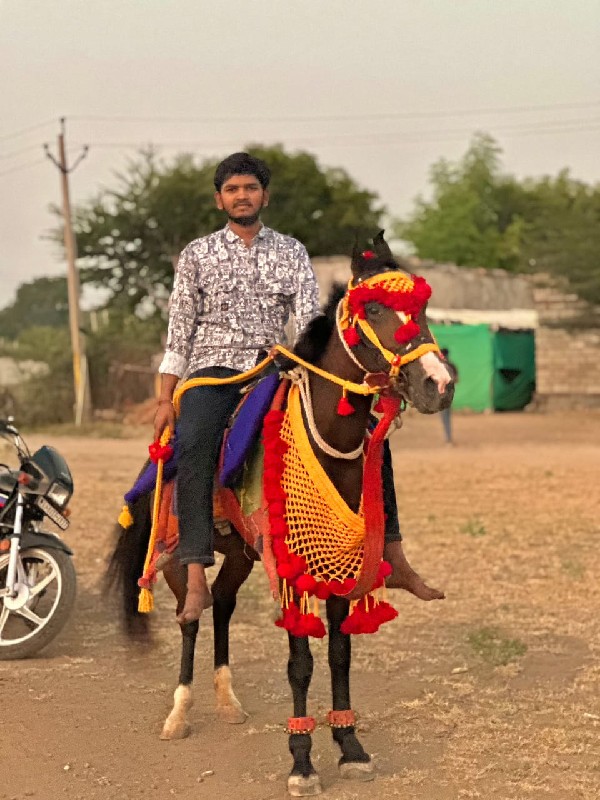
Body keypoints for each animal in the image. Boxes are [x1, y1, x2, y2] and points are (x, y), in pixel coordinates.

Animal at [108, 231, 454, 792]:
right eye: (374, 308)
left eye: (422, 308)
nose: (438, 384)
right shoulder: (291, 566)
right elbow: (300, 662)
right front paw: (302, 762)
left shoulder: (340, 563)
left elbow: (339, 655)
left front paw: (350, 746)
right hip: (182, 552)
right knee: (190, 614)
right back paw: (180, 712)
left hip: (240, 552)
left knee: (223, 604)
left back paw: (228, 701)